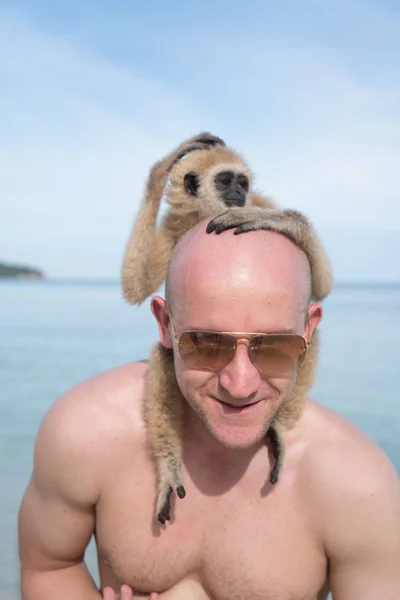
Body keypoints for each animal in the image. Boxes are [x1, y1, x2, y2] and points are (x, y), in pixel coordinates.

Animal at [120, 134, 274, 308]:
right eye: (226, 181)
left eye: (242, 183)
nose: (239, 191)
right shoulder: (173, 225)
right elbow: (137, 285)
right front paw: (163, 166)